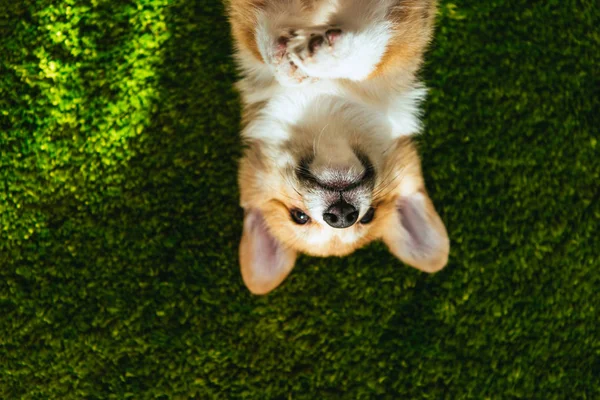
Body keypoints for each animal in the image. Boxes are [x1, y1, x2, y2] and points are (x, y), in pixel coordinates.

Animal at [227, 0, 448, 294]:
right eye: (299, 216)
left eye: (369, 216)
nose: (343, 216)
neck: (328, 95)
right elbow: (263, 40)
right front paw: (288, 59)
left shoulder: (403, 37)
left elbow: (370, 52)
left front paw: (321, 55)